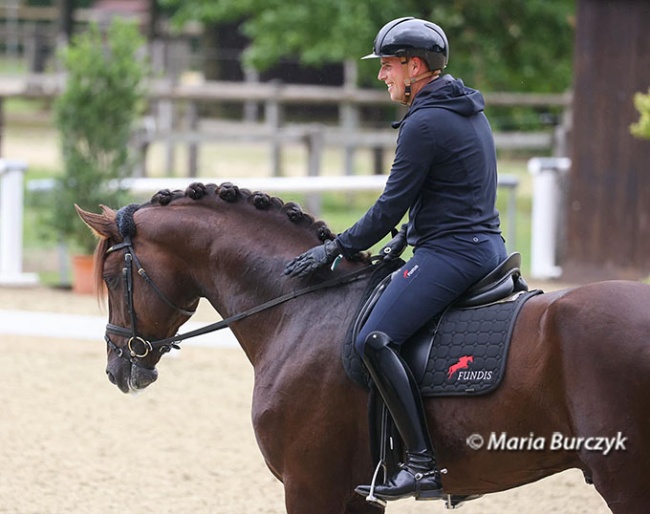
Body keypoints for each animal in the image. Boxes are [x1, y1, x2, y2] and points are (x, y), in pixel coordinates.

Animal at [78, 182, 648, 510]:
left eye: (110, 274)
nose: (117, 369)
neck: (302, 308)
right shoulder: (357, 494)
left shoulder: (310, 486)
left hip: (624, 478)